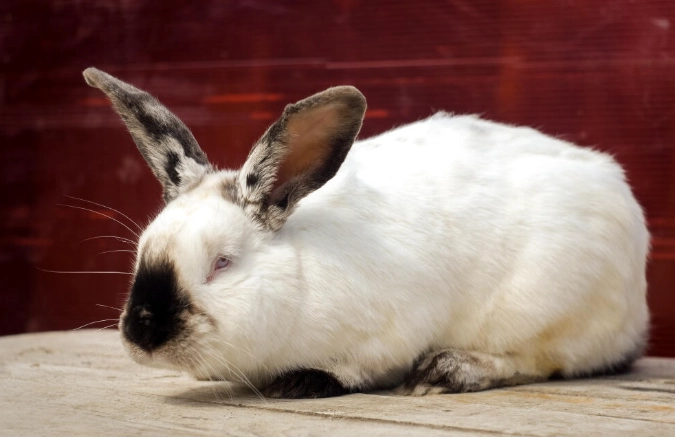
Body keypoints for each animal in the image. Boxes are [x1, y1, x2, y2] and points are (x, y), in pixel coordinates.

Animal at [82, 67, 649, 398]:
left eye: (222, 263)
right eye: (142, 253)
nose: (142, 331)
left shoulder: (389, 332)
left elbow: (361, 368)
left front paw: (304, 381)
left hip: (547, 310)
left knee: (545, 361)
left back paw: (449, 370)